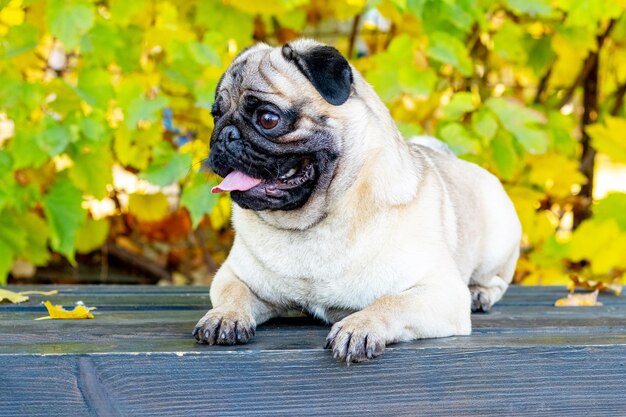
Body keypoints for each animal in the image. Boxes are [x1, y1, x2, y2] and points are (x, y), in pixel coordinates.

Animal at [191, 39, 520, 364]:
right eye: (216, 115)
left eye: (268, 119)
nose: (224, 135)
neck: (313, 225)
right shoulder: (233, 276)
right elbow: (233, 294)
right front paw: (224, 316)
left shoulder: (441, 292)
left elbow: (389, 302)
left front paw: (359, 327)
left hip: (496, 244)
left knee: (496, 281)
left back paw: (479, 294)